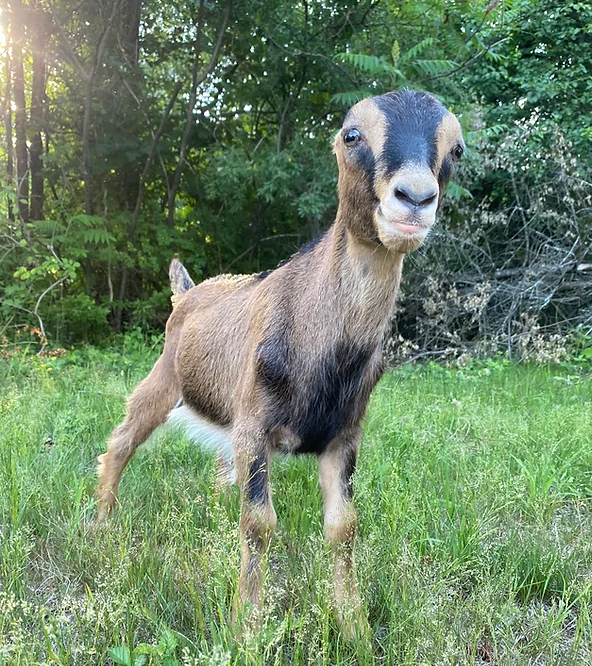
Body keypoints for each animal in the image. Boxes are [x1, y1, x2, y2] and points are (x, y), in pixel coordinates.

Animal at [95, 91, 464, 636]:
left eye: (457, 149)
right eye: (352, 135)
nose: (415, 199)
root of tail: (186, 292)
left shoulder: (343, 435)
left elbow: (343, 526)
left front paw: (354, 629)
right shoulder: (255, 426)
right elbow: (259, 524)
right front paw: (246, 628)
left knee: (217, 471)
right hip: (165, 377)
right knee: (122, 439)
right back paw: (100, 523)